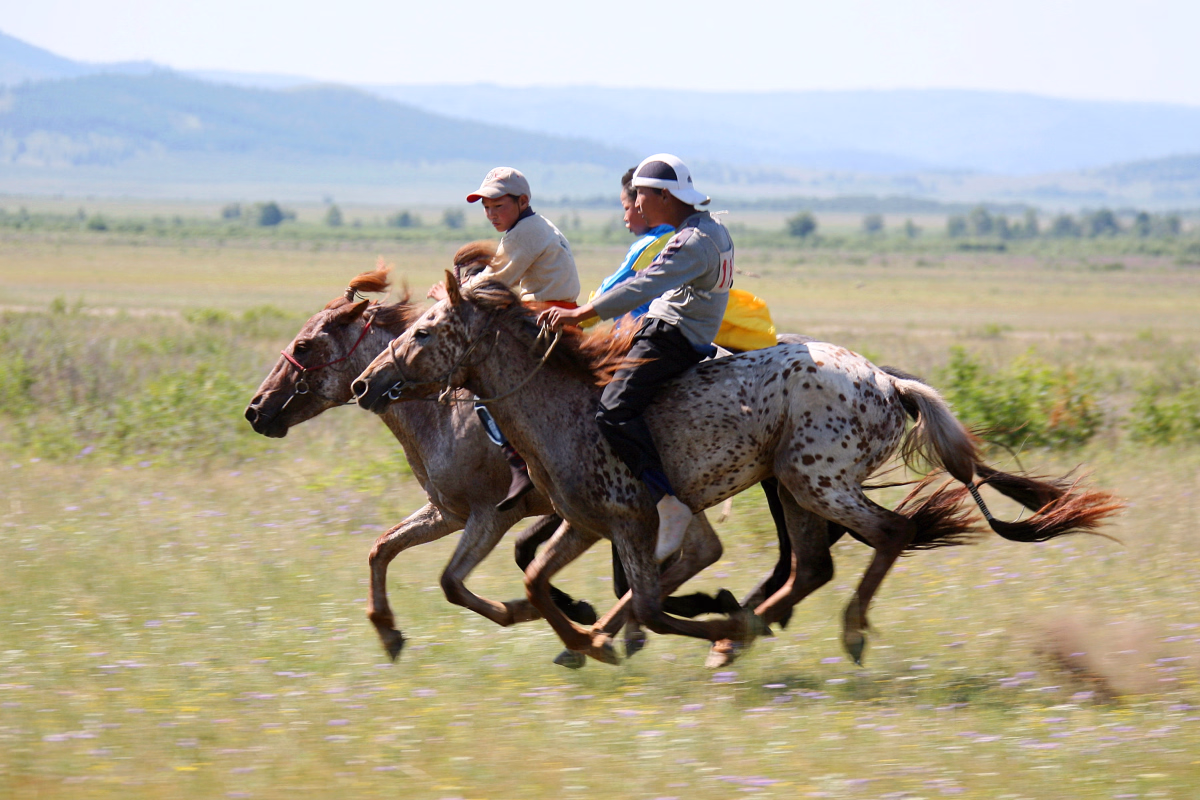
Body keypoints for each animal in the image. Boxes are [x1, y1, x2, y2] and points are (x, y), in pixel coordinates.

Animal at [350, 273, 1123, 666]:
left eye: (424, 331)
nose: (365, 383)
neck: (563, 404)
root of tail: (889, 382)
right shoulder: (586, 522)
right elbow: (540, 583)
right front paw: (589, 640)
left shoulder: (629, 521)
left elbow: (649, 604)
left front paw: (610, 640)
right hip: (798, 489)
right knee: (815, 564)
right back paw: (748, 627)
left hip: (819, 484)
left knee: (891, 534)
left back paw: (826, 632)